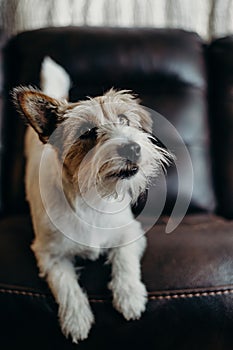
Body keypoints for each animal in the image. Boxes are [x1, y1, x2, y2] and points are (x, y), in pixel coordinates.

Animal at [13, 56, 173, 342]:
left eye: (124, 120)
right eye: (87, 132)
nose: (132, 147)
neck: (92, 199)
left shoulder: (130, 232)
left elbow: (124, 261)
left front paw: (130, 296)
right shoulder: (49, 255)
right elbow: (67, 286)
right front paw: (76, 319)